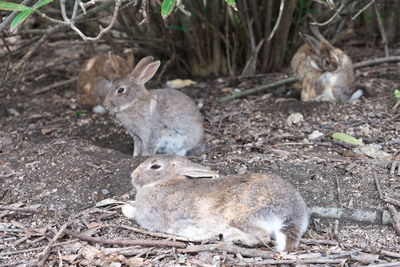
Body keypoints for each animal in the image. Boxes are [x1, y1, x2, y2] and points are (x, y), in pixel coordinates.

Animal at [125, 156, 310, 252]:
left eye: (155, 166)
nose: (132, 176)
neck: (165, 182)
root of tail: (294, 212)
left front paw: (125, 208)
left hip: (244, 215)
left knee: (262, 236)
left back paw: (234, 237)